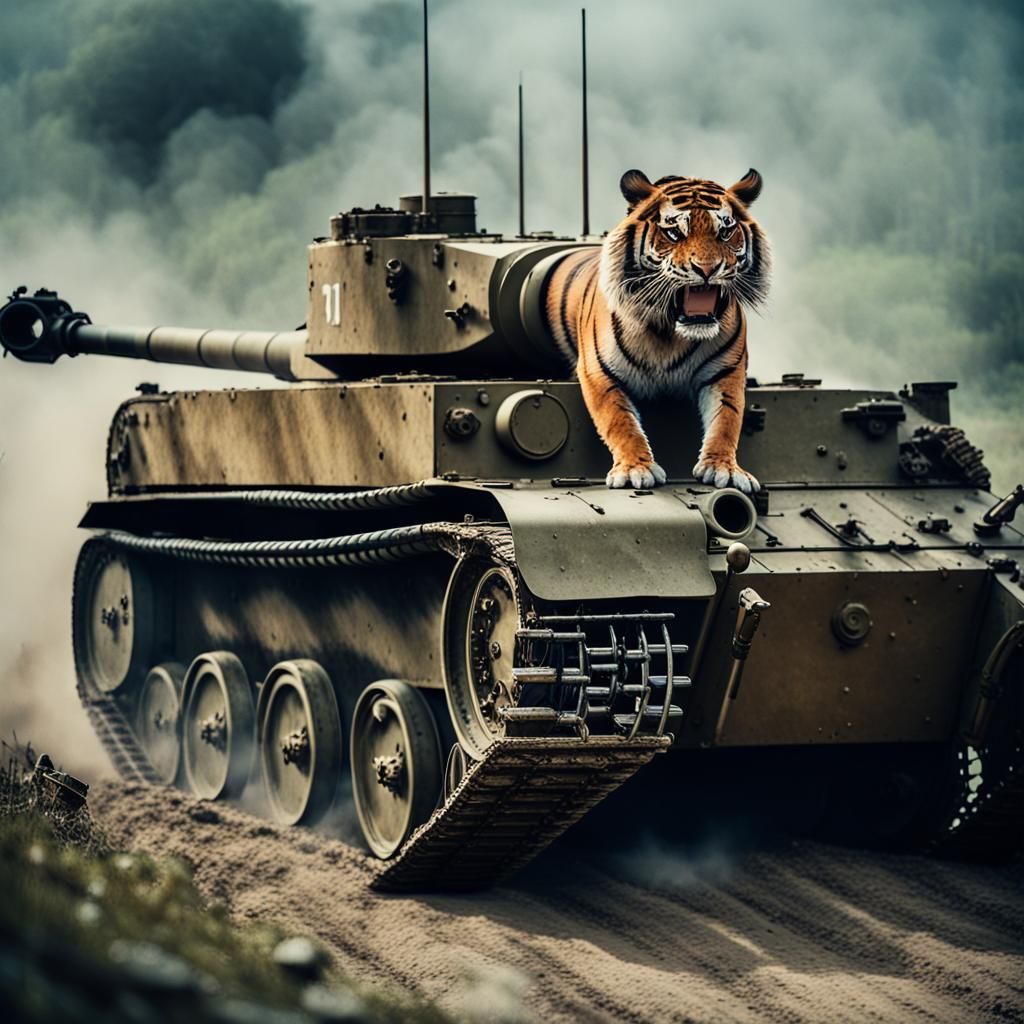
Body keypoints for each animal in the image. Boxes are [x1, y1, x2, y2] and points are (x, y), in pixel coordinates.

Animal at [542, 168, 770, 493]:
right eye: (674, 233)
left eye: (725, 232)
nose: (707, 268)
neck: (669, 333)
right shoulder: (598, 372)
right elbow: (620, 421)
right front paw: (635, 468)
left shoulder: (726, 371)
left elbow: (727, 418)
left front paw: (723, 468)